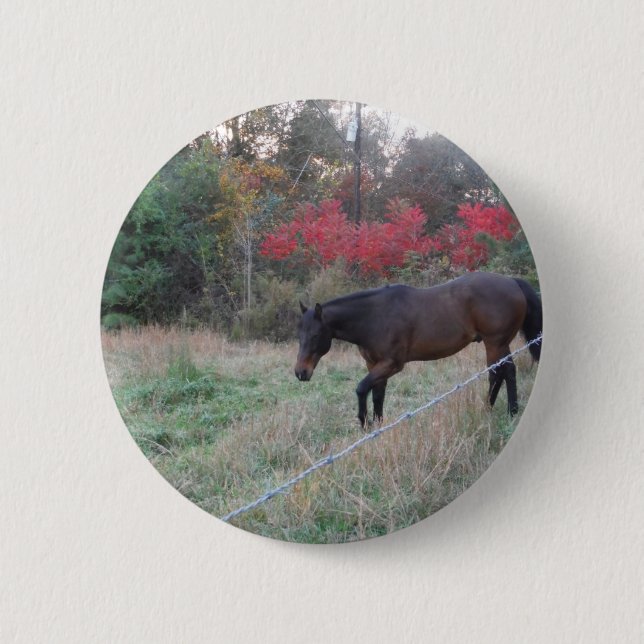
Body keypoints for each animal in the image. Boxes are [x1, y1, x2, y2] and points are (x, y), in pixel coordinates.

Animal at [295, 272, 542, 427]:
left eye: (315, 336)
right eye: (299, 335)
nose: (300, 372)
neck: (375, 317)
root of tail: (511, 282)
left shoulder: (392, 364)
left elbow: (361, 388)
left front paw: (364, 423)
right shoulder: (374, 364)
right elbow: (377, 395)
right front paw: (377, 427)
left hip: (495, 343)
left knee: (499, 373)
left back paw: (500, 411)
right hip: (500, 344)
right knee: (505, 372)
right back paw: (503, 410)